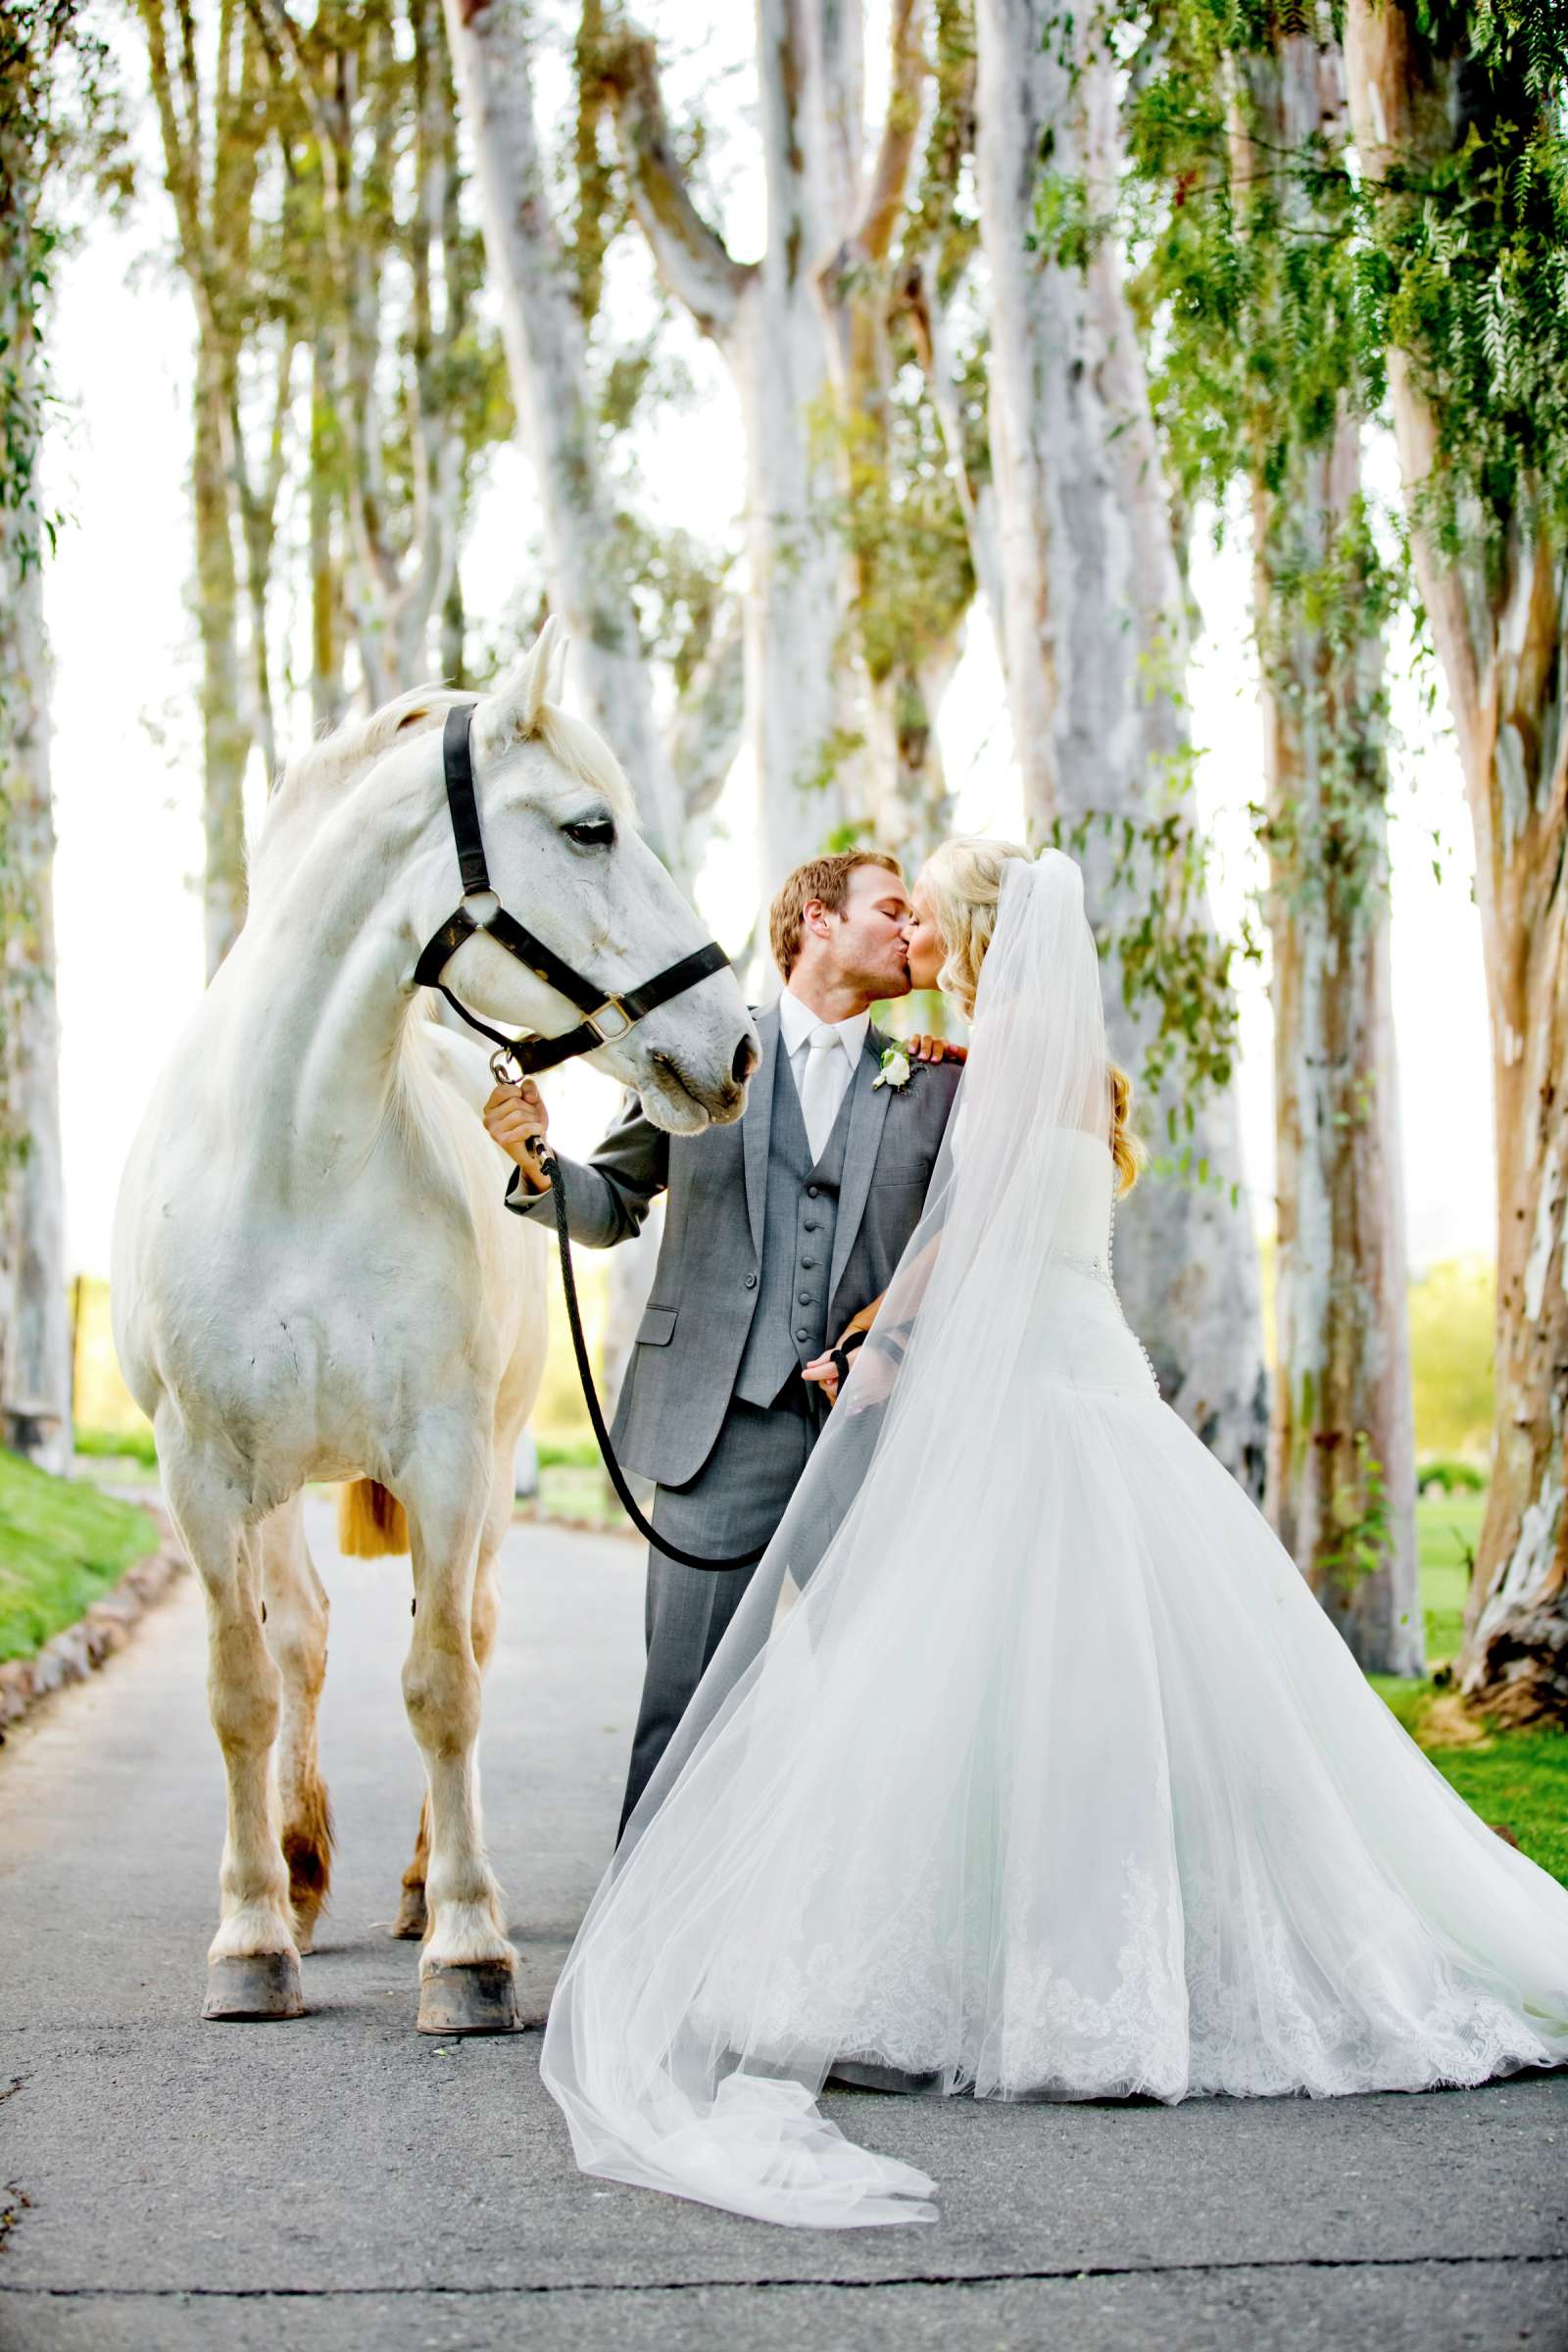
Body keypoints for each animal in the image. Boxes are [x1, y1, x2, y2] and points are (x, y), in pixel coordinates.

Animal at [113, 620, 757, 2023]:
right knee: (301, 1644)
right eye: (588, 829)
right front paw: (251, 1935)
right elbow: (241, 1689)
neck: (293, 1160)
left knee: (464, 1628)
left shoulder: (453, 1462)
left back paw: (415, 1883)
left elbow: (442, 1683)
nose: (735, 1047)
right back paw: (301, 1872)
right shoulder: (201, 1473)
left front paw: (466, 1943)